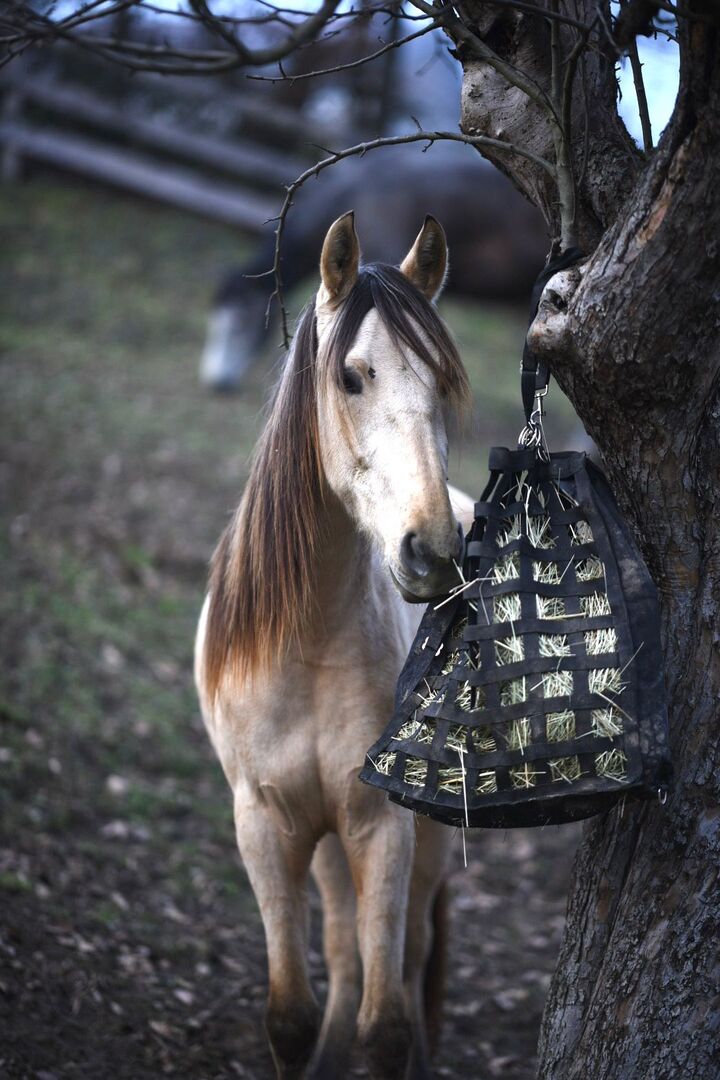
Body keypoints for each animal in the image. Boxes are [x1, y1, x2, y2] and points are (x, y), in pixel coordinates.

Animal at [194, 210, 475, 1078]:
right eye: (352, 378)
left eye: (443, 386)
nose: (434, 552)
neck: (309, 642)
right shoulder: (265, 823)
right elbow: (291, 1013)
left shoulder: (382, 826)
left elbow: (386, 1025)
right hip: (321, 842)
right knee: (348, 952)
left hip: (422, 838)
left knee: (407, 959)